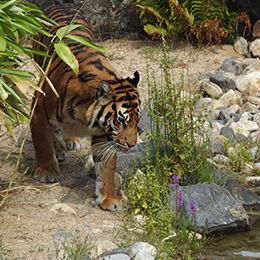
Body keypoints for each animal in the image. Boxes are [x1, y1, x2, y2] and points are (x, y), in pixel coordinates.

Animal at [31, 4, 141, 211]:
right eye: (121, 120)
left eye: (136, 120)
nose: (132, 145)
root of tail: (60, 4)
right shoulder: (39, 111)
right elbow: (42, 143)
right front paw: (47, 172)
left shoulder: (103, 134)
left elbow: (106, 167)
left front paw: (109, 198)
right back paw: (58, 150)